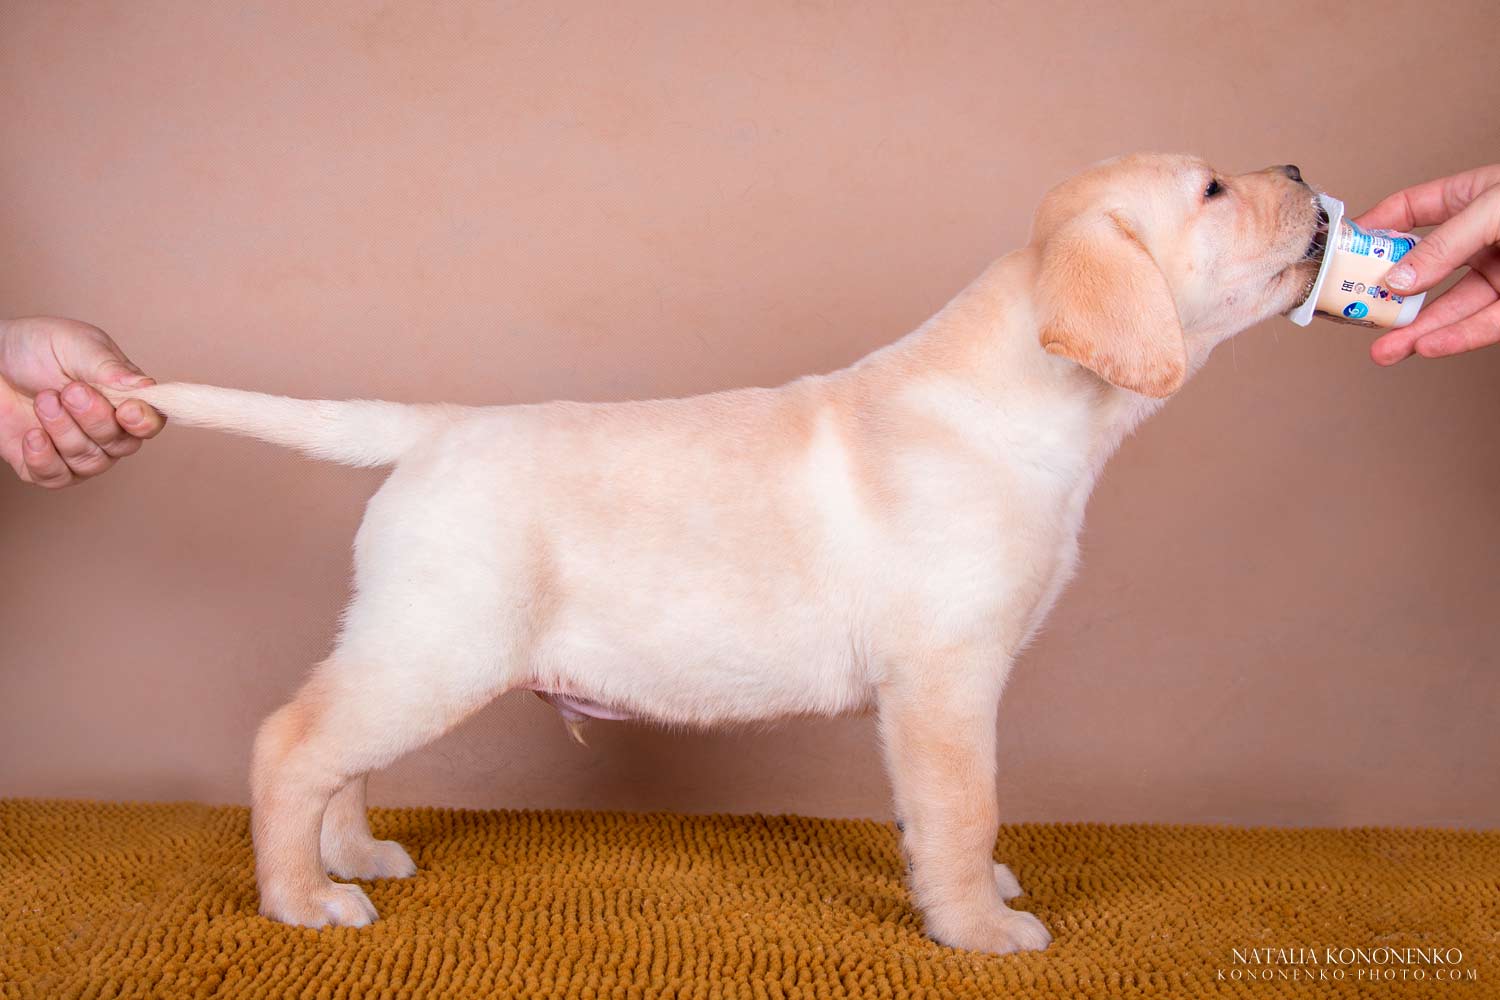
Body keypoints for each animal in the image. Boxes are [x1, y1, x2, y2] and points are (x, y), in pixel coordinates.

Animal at [99, 153, 1323, 954]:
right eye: (1213, 191)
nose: (1302, 169)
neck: (1025, 401)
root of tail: (432, 427)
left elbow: (947, 815)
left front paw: (971, 890)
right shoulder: (946, 677)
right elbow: (967, 803)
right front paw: (980, 924)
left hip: (408, 637)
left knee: (335, 748)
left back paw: (346, 855)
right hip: (440, 644)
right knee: (291, 742)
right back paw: (302, 898)